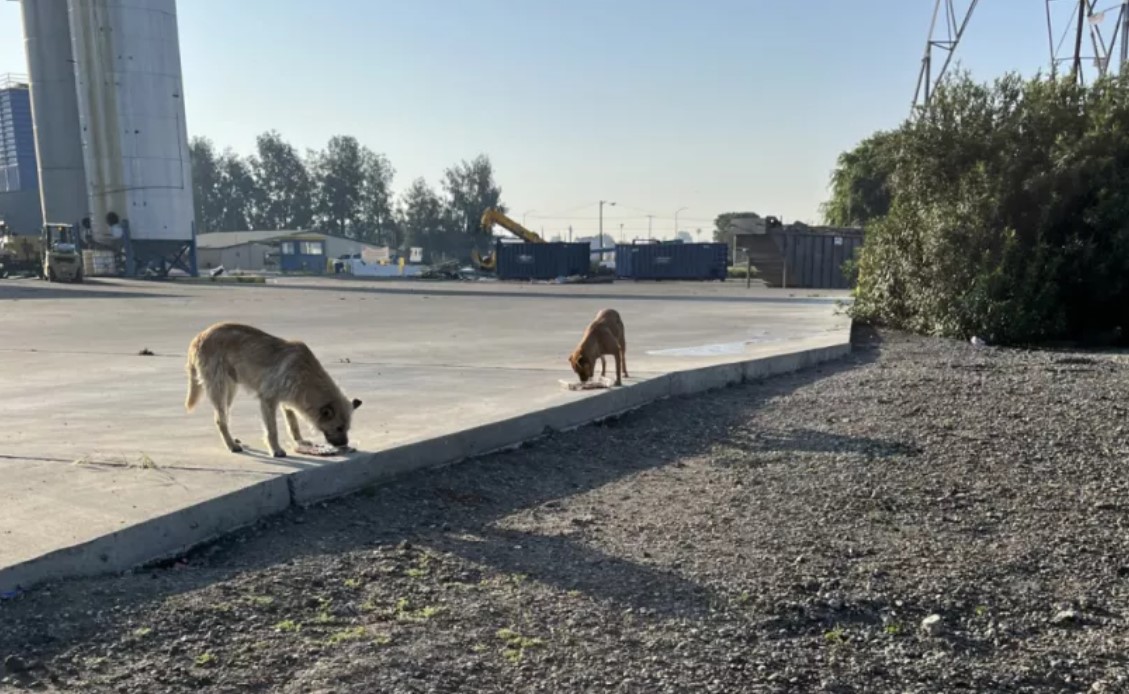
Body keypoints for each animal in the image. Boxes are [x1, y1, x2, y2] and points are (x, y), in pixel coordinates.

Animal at [185, 322, 361, 458]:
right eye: (338, 428)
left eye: (347, 428)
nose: (345, 444)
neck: (306, 376)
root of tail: (198, 338)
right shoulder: (268, 400)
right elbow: (272, 429)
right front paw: (276, 450)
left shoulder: (288, 400)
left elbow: (293, 423)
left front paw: (299, 440)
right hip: (220, 388)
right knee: (220, 419)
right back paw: (231, 445)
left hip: (230, 389)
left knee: (224, 417)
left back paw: (232, 440)